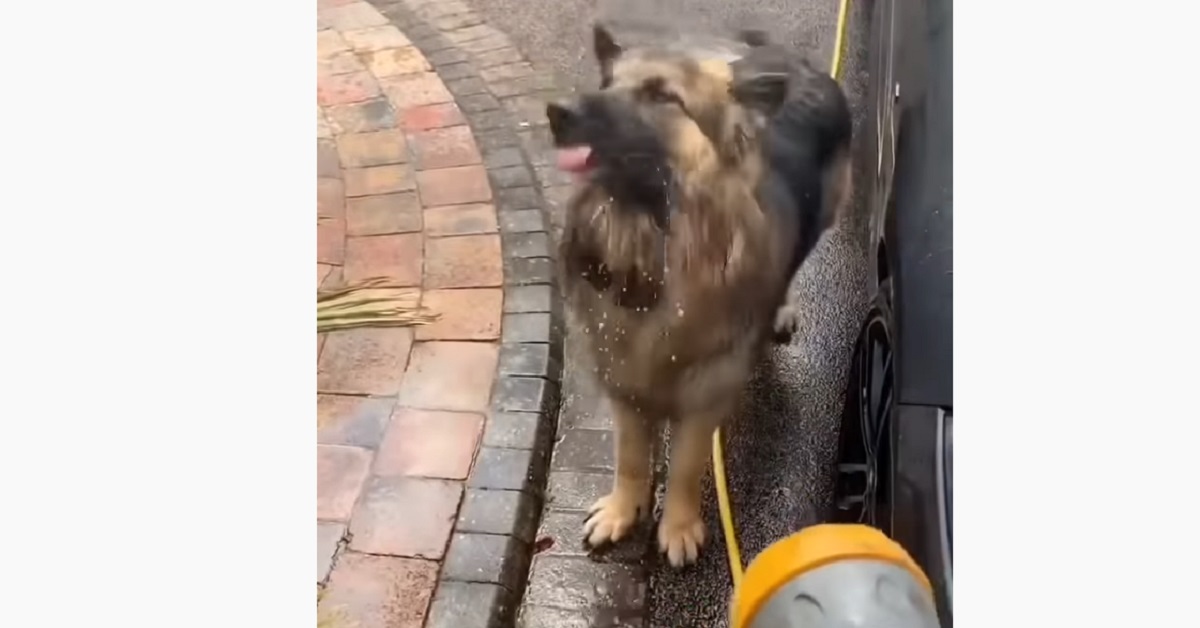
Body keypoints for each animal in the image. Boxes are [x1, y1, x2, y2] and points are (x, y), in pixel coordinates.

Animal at [549, 24, 849, 566]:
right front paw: (623, 510)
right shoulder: (626, 382)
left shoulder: (704, 396)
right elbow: (630, 457)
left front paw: (679, 525)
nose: (556, 112)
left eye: (661, 95)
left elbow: (687, 465)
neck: (653, 235)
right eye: (606, 83)